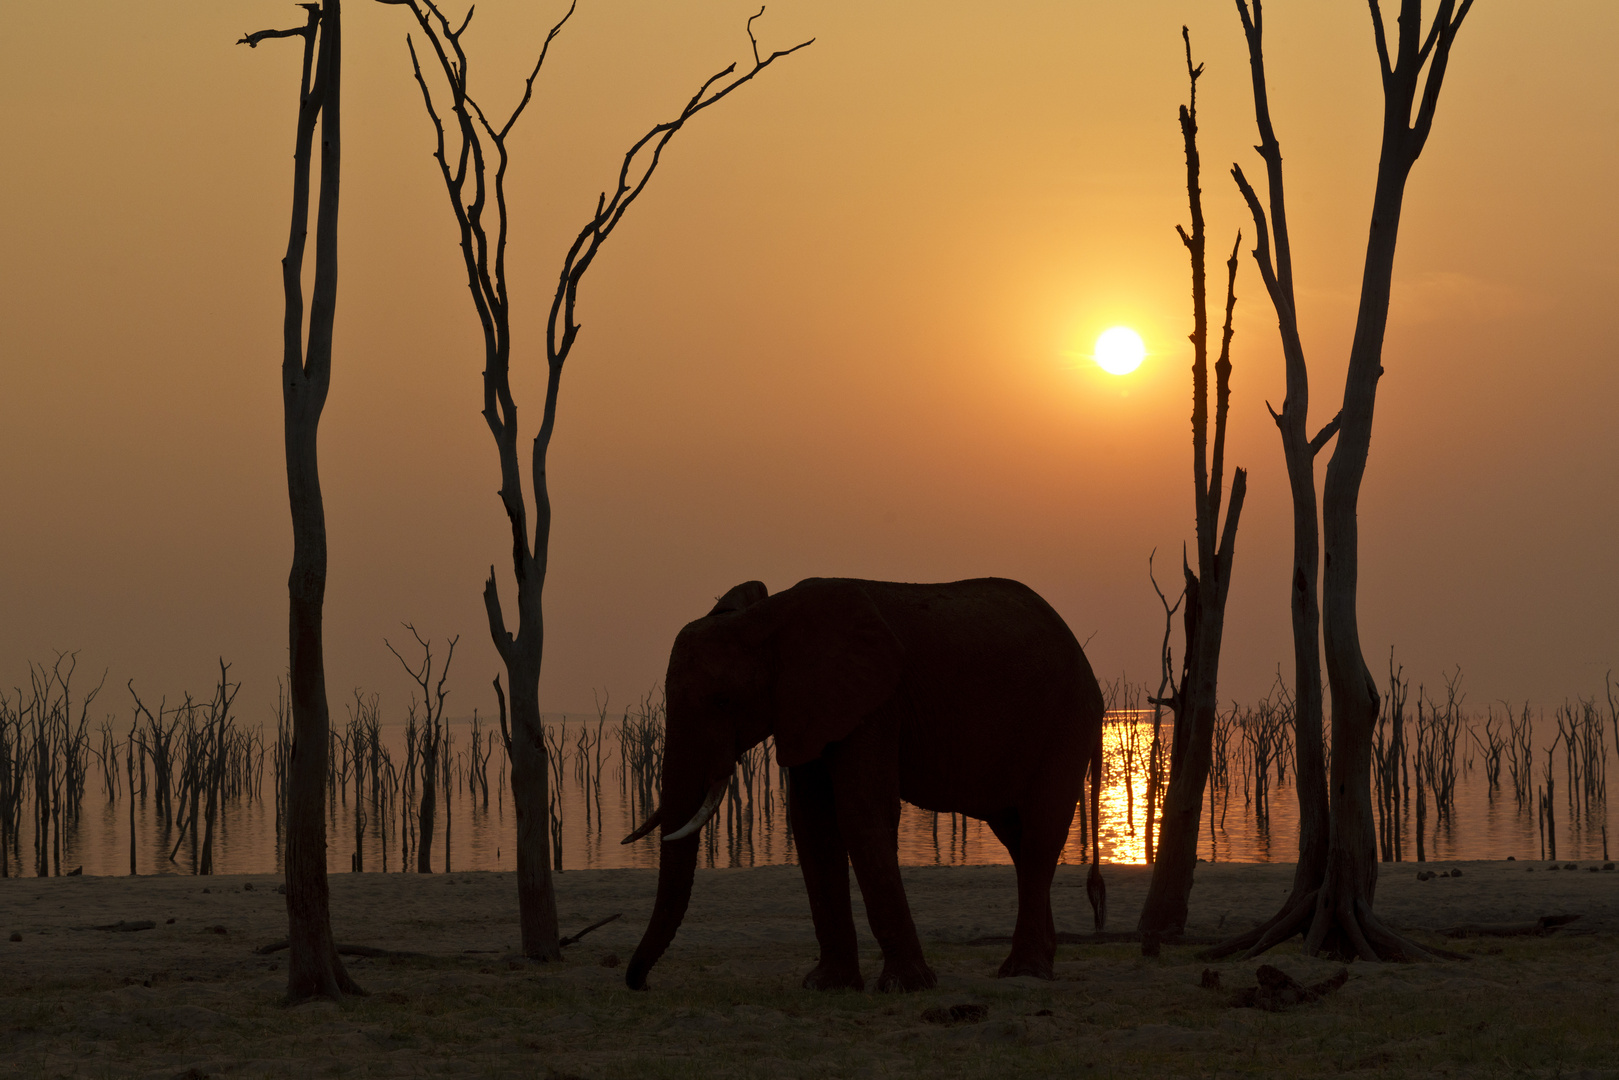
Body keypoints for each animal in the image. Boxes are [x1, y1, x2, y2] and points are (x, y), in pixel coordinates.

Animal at [615, 579, 1100, 990]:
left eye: (722, 701)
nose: (640, 983)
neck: (771, 618)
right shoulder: (808, 709)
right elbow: (812, 821)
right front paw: (827, 985)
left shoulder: (873, 704)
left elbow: (861, 809)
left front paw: (907, 987)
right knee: (1016, 837)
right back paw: (1035, 965)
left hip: (1067, 719)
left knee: (1039, 834)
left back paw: (1026, 974)